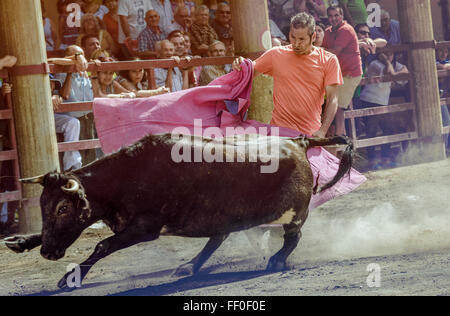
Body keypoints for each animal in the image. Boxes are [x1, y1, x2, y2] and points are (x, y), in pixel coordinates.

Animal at [4, 132, 356, 290]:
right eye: (44, 206)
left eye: (63, 207)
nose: (50, 253)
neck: (127, 176)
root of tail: (298, 142)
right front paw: (20, 241)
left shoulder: (145, 228)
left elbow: (103, 245)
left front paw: (69, 277)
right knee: (217, 238)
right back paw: (189, 266)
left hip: (294, 213)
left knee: (293, 238)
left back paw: (275, 261)